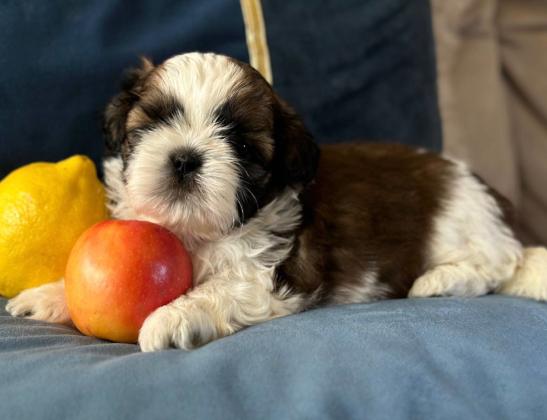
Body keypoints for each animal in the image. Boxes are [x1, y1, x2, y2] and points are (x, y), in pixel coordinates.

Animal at [5, 51, 547, 352]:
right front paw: (50, 295)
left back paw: (438, 281)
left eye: (242, 147)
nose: (185, 158)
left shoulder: (267, 277)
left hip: (464, 225)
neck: (196, 232)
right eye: (157, 121)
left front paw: (168, 318)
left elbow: (215, 292)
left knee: (498, 263)